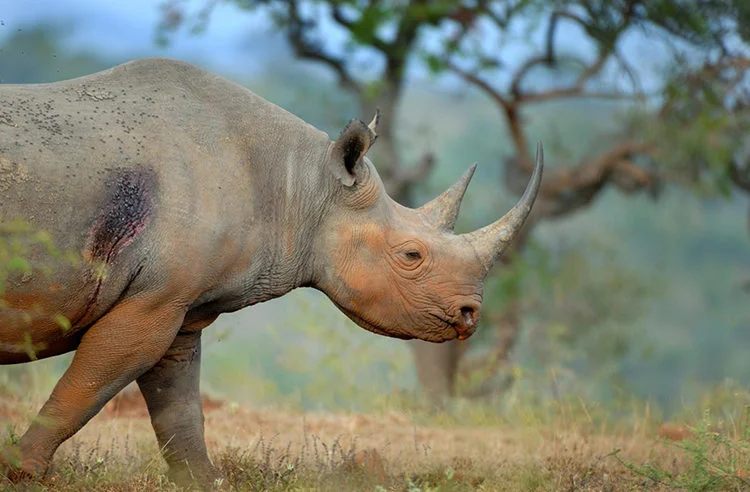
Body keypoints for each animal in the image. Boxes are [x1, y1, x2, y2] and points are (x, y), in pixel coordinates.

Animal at [0, 58, 542, 486]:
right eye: (412, 256)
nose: (470, 315)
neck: (302, 186)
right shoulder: (152, 301)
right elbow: (92, 384)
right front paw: (23, 471)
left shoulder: (177, 302)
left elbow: (177, 401)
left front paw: (204, 480)